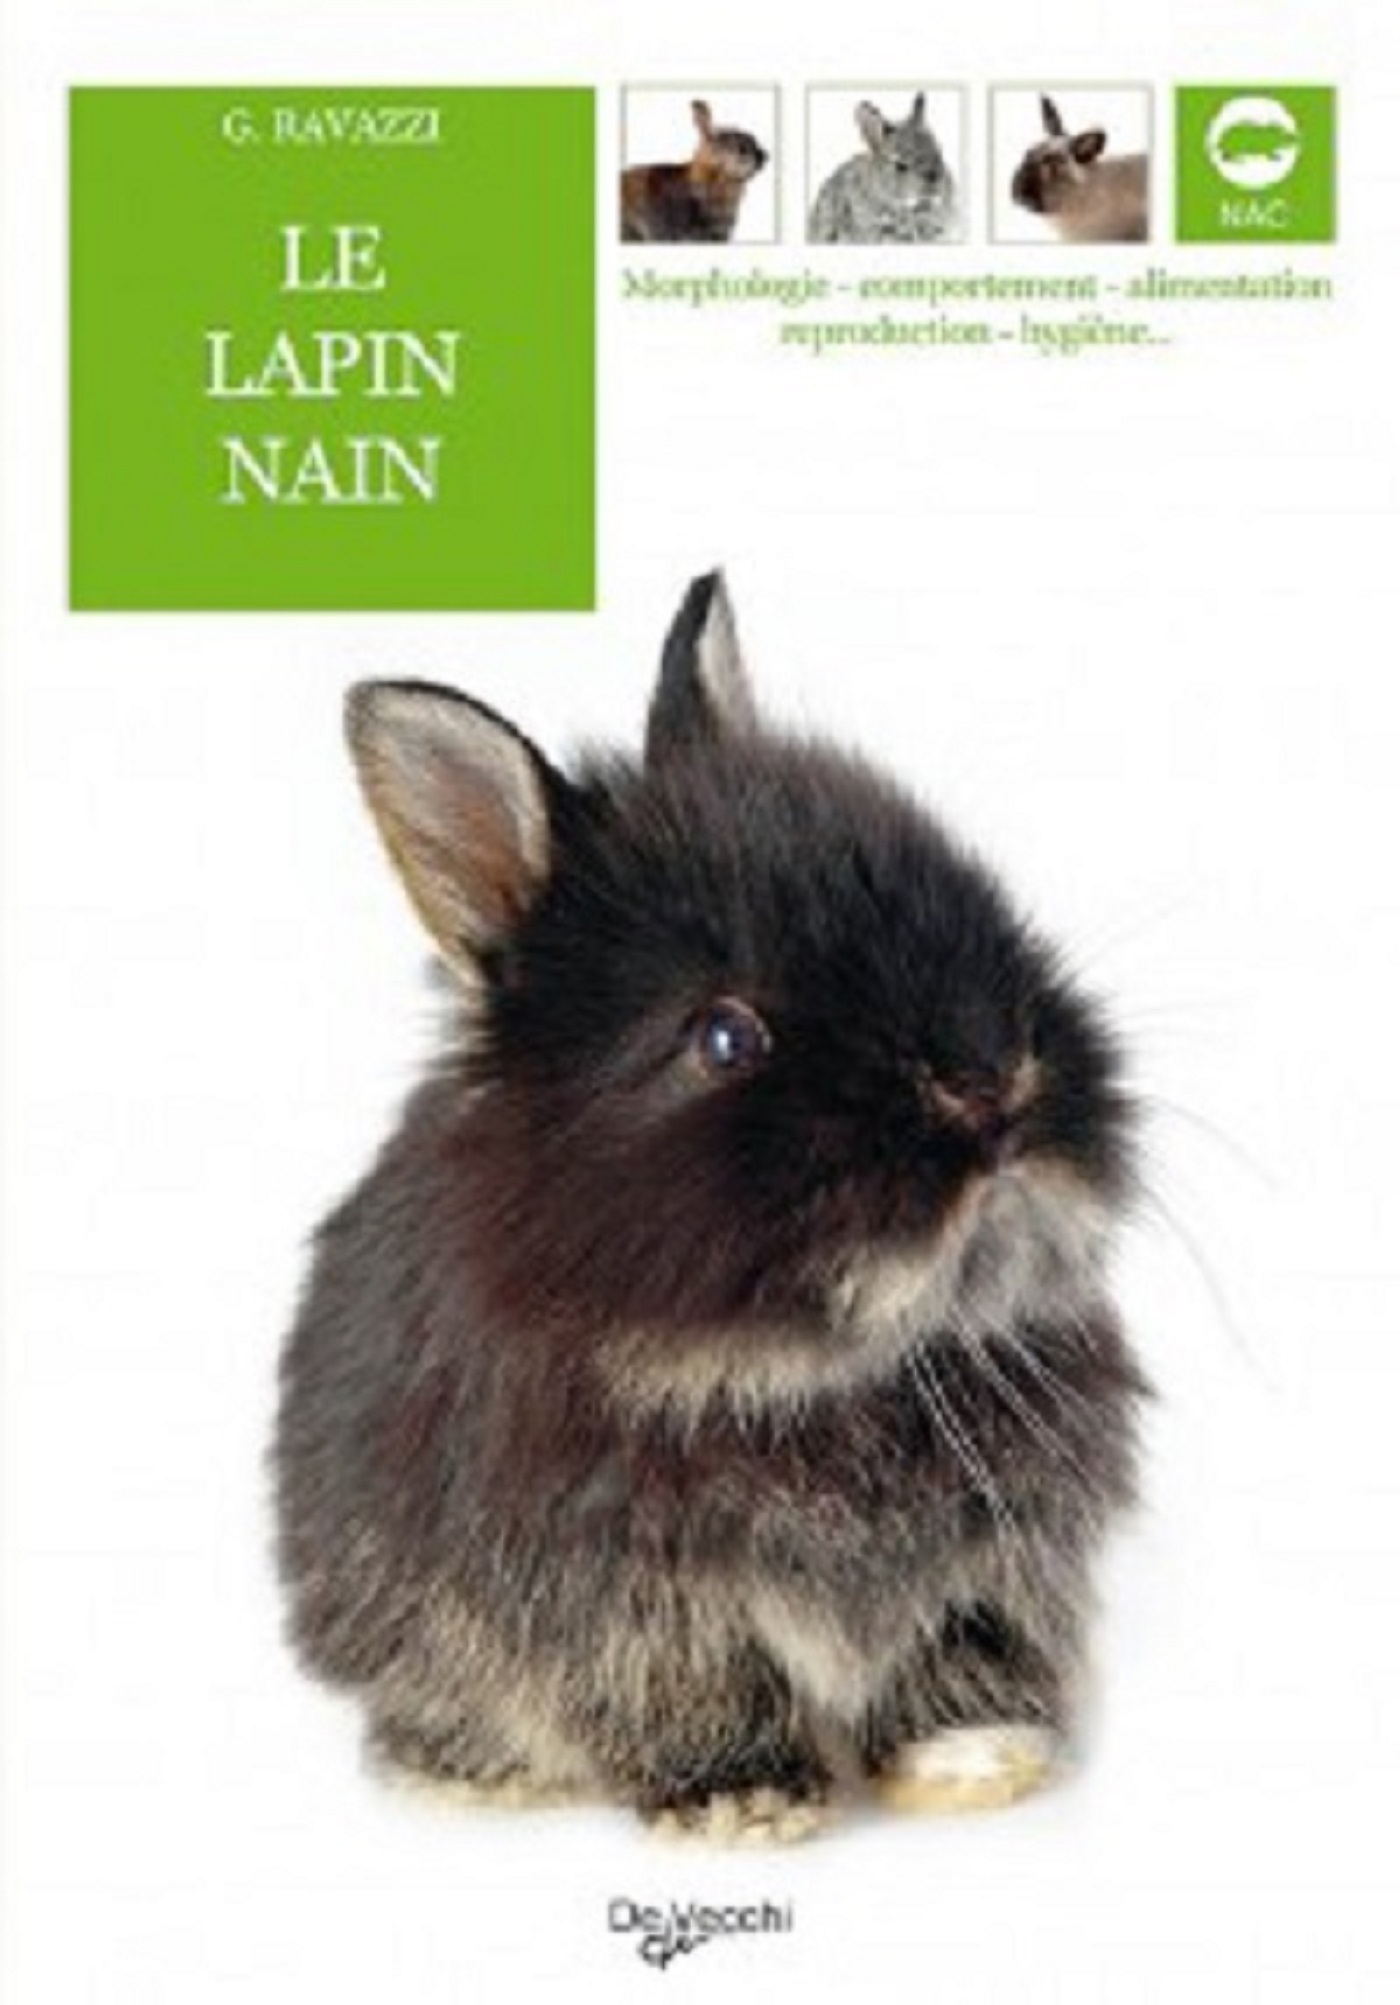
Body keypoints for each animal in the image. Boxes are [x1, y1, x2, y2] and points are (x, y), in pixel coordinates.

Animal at [273, 572, 1148, 1843]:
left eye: (966, 898)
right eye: (724, 1039)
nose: (989, 1083)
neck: (807, 1373)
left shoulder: (992, 1568)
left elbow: (958, 1651)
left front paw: (976, 1761)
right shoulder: (620, 1598)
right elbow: (690, 1685)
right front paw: (744, 1802)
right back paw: (473, 1777)